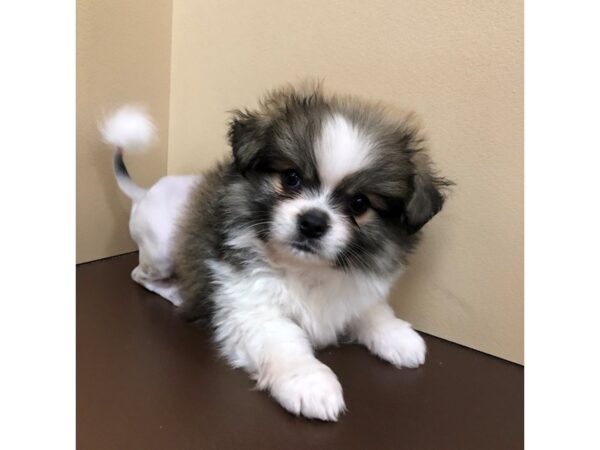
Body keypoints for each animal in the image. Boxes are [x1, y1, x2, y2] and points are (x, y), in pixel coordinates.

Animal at [102, 84, 450, 422]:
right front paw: (311, 384)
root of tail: (143, 192)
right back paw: (175, 292)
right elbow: (286, 343)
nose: (313, 222)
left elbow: (372, 310)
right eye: (290, 178)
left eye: (360, 203)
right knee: (139, 275)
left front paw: (397, 336)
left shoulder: (355, 291)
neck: (307, 270)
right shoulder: (251, 310)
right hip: (161, 253)